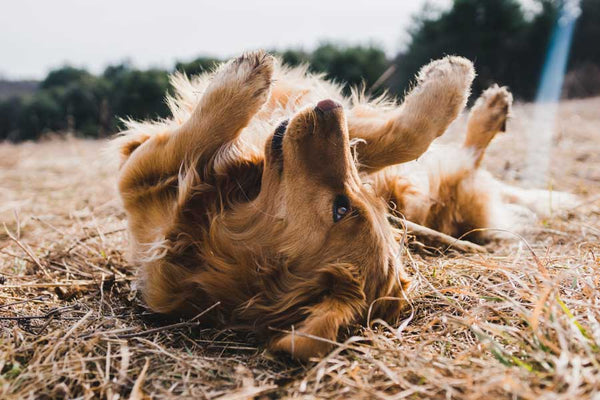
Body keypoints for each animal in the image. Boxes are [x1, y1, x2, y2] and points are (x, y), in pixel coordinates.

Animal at [113, 50, 576, 360]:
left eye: (342, 208)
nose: (329, 106)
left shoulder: (137, 180)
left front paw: (240, 84)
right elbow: (399, 138)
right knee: (464, 161)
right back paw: (492, 109)